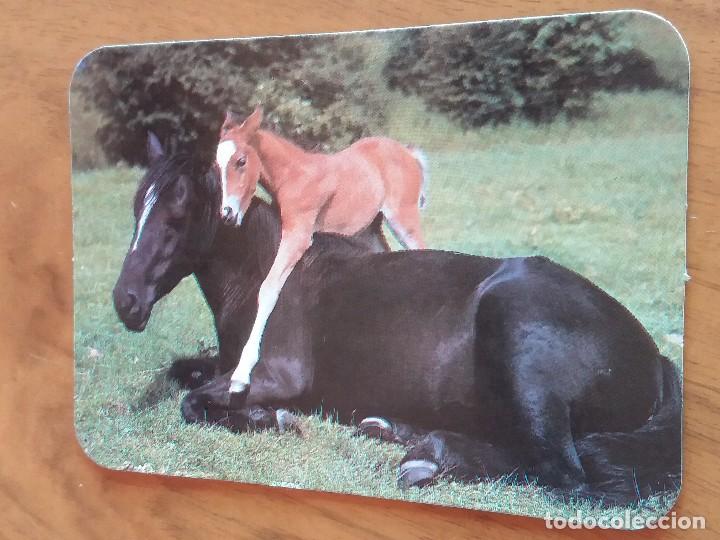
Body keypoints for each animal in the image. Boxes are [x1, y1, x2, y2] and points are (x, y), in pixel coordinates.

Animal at [113, 137, 681, 506]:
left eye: (177, 216)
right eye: (136, 206)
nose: (126, 301)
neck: (267, 276)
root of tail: (655, 358)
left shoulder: (275, 376)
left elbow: (194, 402)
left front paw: (272, 419)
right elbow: (184, 373)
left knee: (566, 475)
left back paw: (429, 456)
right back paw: (399, 432)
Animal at [214, 107, 428, 394]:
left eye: (240, 161)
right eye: (216, 165)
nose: (227, 214)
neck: (294, 177)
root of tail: (407, 152)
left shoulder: (298, 236)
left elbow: (268, 289)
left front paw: (240, 374)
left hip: (404, 220)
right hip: (374, 227)